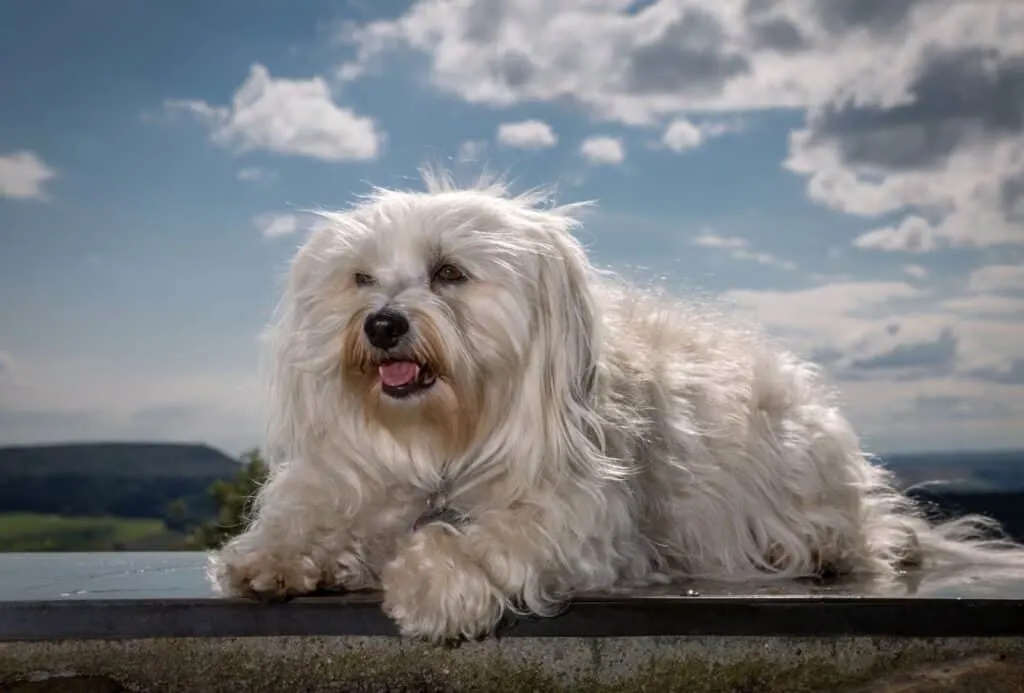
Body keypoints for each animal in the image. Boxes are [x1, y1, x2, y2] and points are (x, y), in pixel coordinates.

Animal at [205, 169, 1024, 638]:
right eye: (361, 279)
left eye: (448, 273)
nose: (380, 325)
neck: (444, 442)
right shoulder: (360, 481)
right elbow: (317, 515)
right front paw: (274, 556)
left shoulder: (584, 524)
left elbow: (490, 538)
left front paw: (433, 583)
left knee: (865, 535)